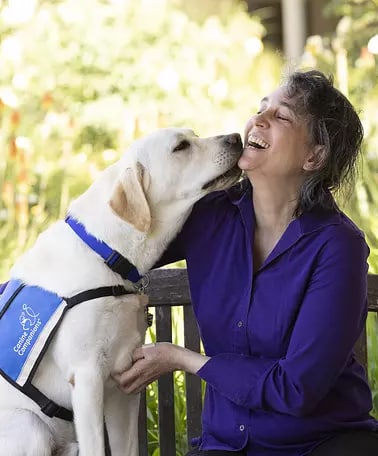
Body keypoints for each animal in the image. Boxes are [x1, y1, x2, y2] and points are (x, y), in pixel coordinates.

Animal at [0, 128, 242, 456]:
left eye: (194, 135)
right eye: (181, 146)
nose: (237, 137)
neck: (105, 254)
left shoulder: (123, 381)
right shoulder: (87, 377)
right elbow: (96, 448)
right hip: (30, 426)